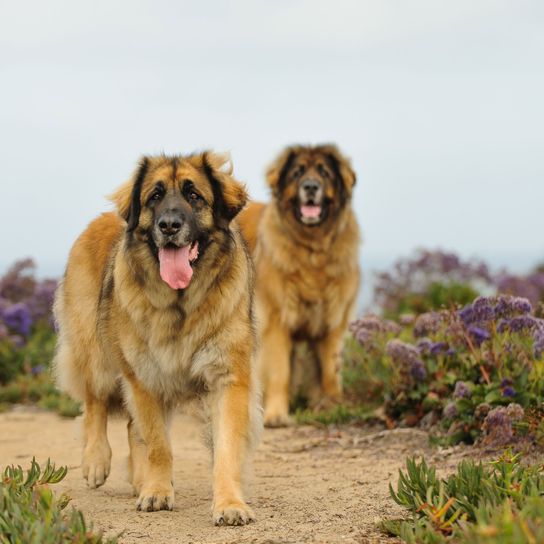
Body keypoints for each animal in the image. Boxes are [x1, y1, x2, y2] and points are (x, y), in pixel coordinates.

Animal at [53, 151, 262, 524]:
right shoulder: (144, 377)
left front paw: (229, 503)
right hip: (96, 355)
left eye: (194, 195)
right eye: (154, 196)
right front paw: (157, 492)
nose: (168, 226)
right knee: (95, 404)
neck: (181, 303)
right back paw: (97, 461)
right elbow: (158, 444)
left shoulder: (228, 379)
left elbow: (226, 447)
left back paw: (138, 478)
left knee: (130, 427)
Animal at [239, 144, 362, 430]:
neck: (312, 252)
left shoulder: (333, 322)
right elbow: (280, 372)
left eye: (325, 173)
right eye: (297, 173)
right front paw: (276, 414)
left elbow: (330, 371)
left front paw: (333, 407)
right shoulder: (276, 321)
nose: (310, 187)